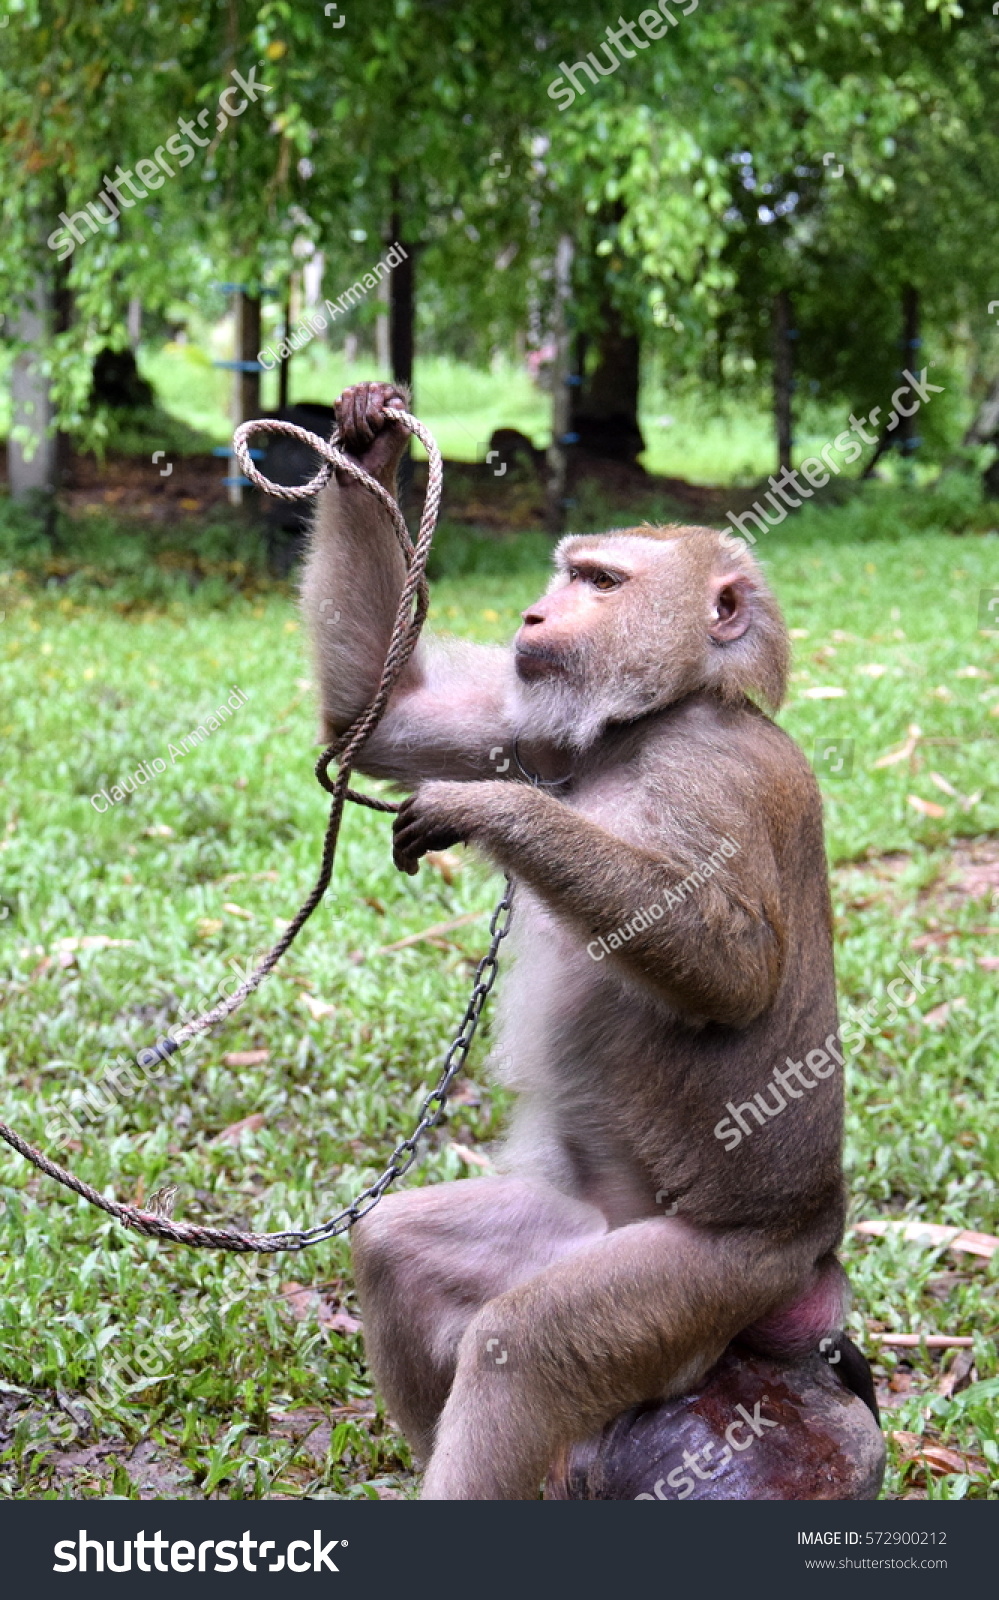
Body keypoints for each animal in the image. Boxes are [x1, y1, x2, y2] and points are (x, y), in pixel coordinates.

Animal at [304, 377, 870, 1497]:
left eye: (600, 582)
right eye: (566, 575)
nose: (534, 612)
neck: (651, 721)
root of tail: (813, 1256)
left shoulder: (712, 776)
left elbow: (736, 970)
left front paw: (491, 811)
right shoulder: (535, 723)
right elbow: (379, 721)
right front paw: (368, 439)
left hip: (711, 1274)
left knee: (526, 1348)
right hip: (581, 1226)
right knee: (401, 1248)